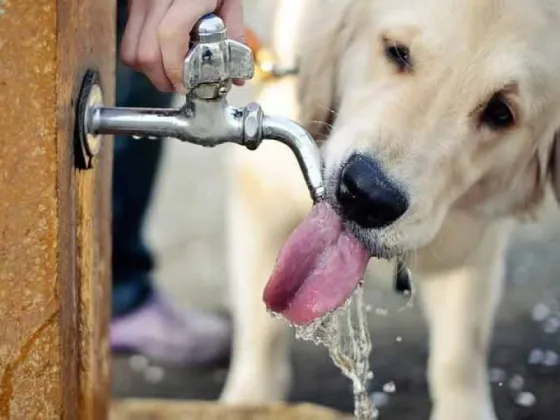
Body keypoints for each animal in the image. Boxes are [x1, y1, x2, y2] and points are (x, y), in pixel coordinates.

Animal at [219, 1, 560, 418]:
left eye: (500, 112)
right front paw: (249, 401)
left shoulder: (473, 239)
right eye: (397, 52)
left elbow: (460, 352)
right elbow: (261, 330)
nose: (367, 195)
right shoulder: (261, 188)